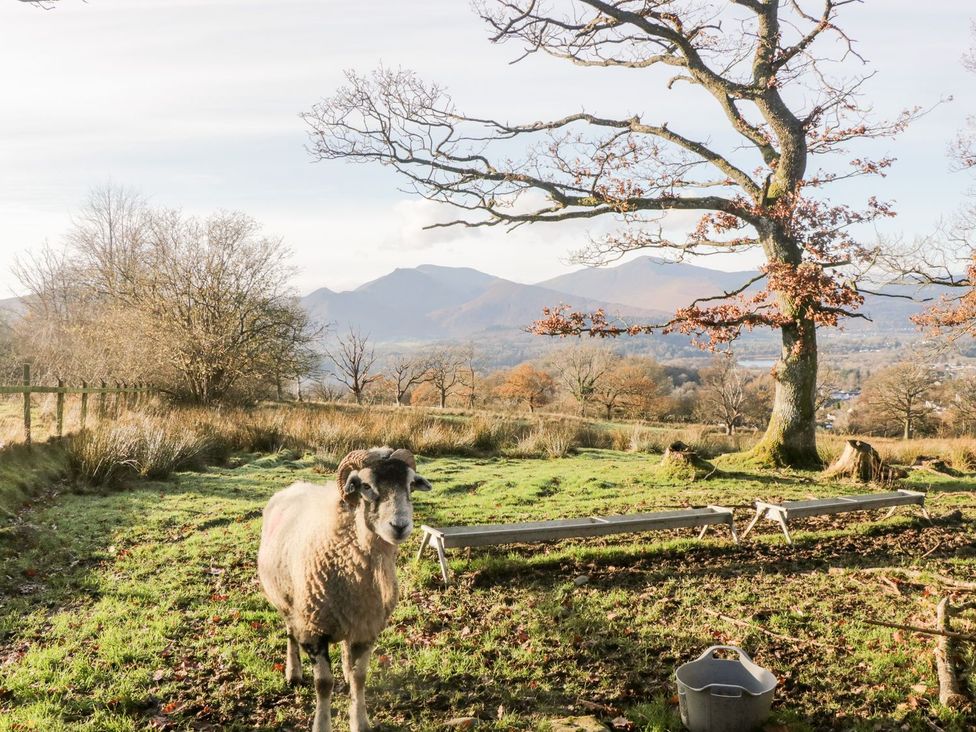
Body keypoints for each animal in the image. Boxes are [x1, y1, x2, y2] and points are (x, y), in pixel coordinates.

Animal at [255, 446, 430, 732]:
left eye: (410, 485)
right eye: (366, 486)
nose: (400, 526)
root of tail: (295, 485)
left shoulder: (367, 627)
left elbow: (360, 677)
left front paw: (359, 721)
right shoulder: (313, 629)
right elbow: (324, 684)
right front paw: (321, 725)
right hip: (288, 602)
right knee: (290, 633)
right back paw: (293, 673)